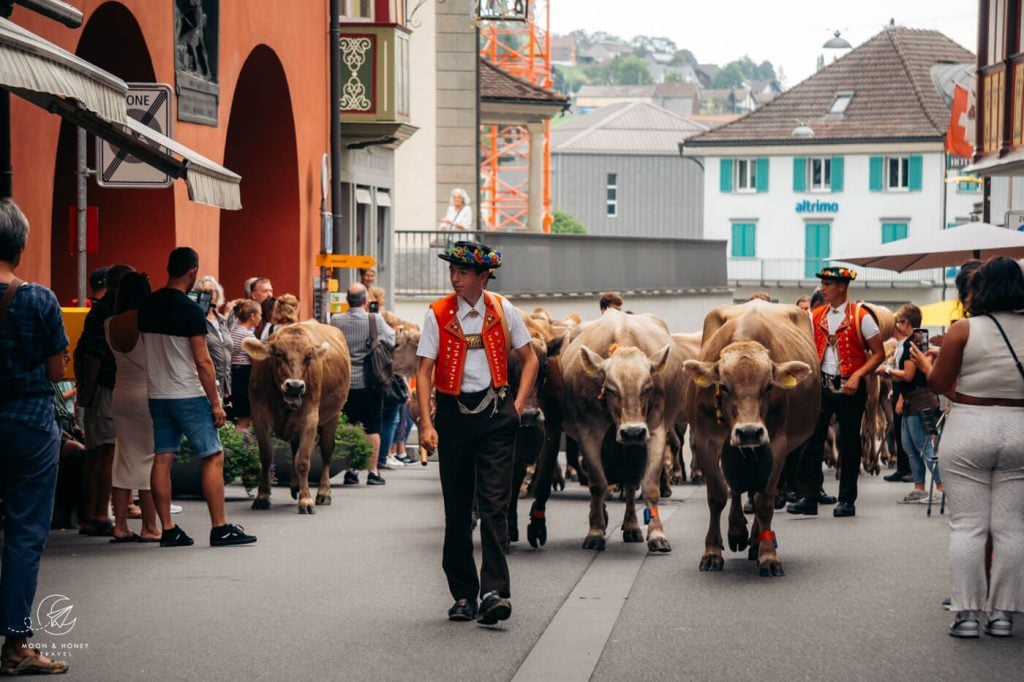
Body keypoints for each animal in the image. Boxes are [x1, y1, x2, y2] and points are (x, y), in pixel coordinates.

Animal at [243, 321, 352, 512]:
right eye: (279, 354)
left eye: (308, 357)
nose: (295, 386)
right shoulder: (259, 416)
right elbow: (266, 456)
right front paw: (262, 496)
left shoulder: (310, 418)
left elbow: (302, 460)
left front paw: (306, 499)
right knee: (294, 448)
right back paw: (295, 484)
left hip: (333, 416)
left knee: (326, 451)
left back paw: (324, 492)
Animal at [684, 303, 819, 573]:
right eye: (723, 386)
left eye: (768, 386)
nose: (748, 431)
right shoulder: (706, 441)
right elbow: (717, 495)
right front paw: (712, 552)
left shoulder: (776, 444)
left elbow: (764, 499)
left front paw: (767, 555)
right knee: (736, 487)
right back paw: (736, 532)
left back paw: (754, 541)